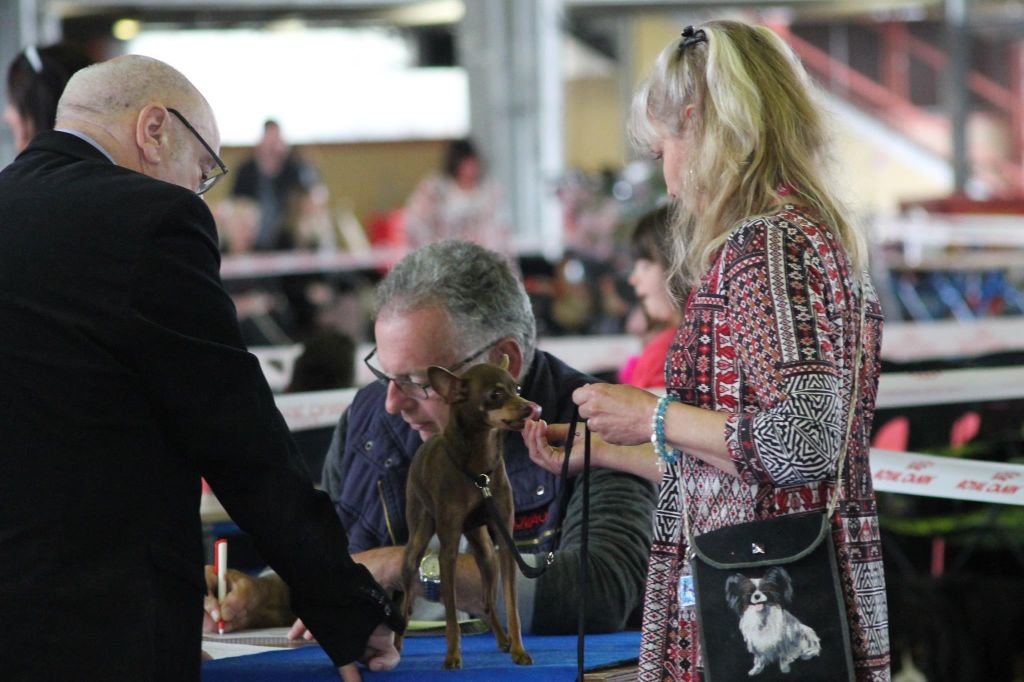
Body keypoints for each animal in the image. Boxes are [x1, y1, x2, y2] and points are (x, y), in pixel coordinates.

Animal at [397, 356, 544, 667]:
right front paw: (452, 655)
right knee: (405, 604)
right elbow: (452, 615)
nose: (531, 407)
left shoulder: (506, 546)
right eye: (495, 395)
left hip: (486, 554)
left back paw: (503, 640)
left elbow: (511, 606)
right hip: (416, 544)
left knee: (488, 602)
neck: (479, 472)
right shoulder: (448, 552)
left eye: (518, 388)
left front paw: (519, 649)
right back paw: (395, 646)